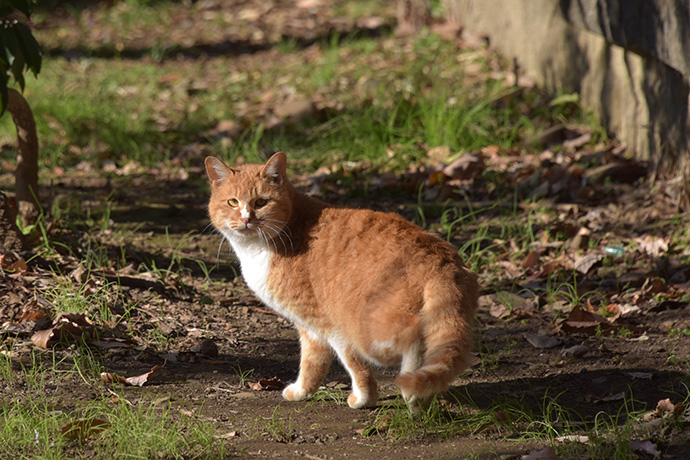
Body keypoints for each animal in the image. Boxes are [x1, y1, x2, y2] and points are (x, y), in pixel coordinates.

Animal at [202, 153, 476, 408]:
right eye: (233, 202)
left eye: (261, 202)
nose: (246, 219)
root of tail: (440, 257)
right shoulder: (310, 326)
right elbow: (314, 362)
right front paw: (304, 392)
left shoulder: (326, 323)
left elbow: (347, 362)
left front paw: (363, 398)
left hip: (371, 332)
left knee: (412, 339)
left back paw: (410, 391)